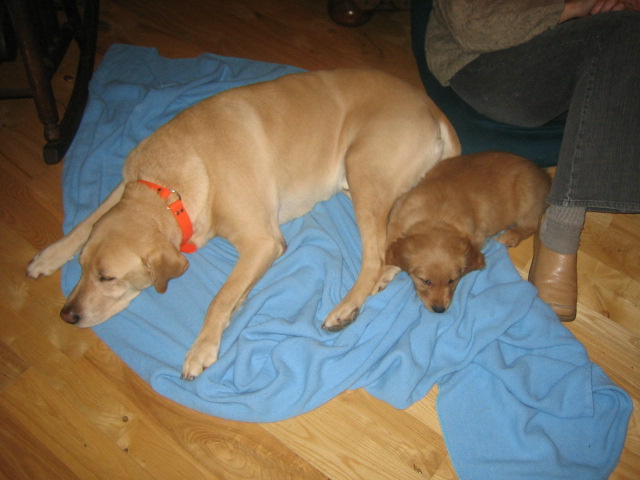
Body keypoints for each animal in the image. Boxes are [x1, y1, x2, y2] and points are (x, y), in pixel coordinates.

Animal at [26, 69, 460, 380]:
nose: (67, 315)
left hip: (364, 169)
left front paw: (202, 347)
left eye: (108, 278)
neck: (173, 186)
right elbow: (86, 222)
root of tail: (431, 106)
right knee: (394, 243)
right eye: (82, 268)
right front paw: (49, 255)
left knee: (373, 255)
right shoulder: (127, 185)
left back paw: (347, 306)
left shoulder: (262, 242)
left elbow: (218, 299)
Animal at [372, 152, 552, 314]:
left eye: (452, 281)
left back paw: (511, 236)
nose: (439, 310)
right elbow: (392, 255)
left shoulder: (476, 237)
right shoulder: (396, 219)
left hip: (526, 199)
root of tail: (544, 175)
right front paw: (383, 278)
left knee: (534, 224)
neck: (436, 217)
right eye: (426, 281)